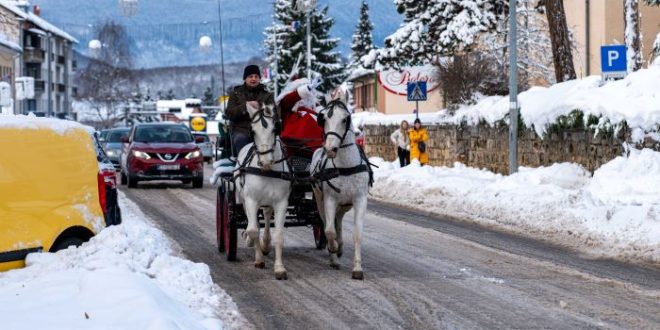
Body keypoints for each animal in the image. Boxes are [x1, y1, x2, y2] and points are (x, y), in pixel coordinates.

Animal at [235, 100, 292, 278]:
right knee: (252, 222)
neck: (267, 171)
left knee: (266, 215)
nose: (266, 161)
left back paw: (265, 243)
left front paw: (279, 268)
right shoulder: (251, 200)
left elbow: (279, 234)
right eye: (253, 131)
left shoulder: (281, 202)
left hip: (268, 201)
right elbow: (253, 230)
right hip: (243, 198)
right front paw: (259, 259)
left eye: (275, 129)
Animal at [310, 89, 372, 278]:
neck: (346, 166)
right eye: (324, 119)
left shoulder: (360, 200)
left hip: (345, 204)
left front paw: (357, 268)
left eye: (345, 119)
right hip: (320, 199)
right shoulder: (329, 199)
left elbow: (357, 234)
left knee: (338, 219)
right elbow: (329, 230)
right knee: (327, 223)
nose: (330, 149)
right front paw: (333, 248)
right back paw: (334, 255)